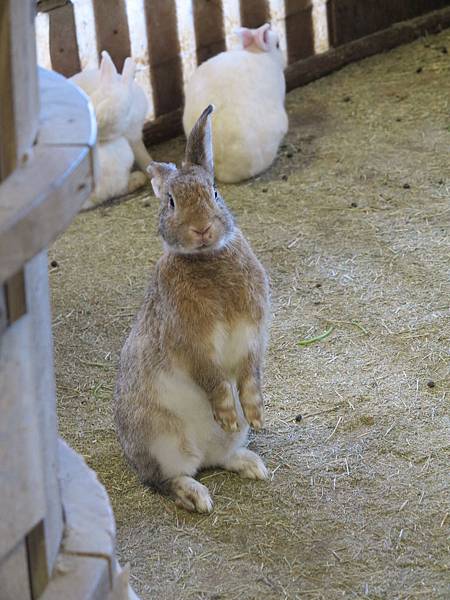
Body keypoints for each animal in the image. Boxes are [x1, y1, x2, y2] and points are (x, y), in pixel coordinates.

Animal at [113, 104, 270, 510]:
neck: (207, 258)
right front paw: (228, 413)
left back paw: (251, 464)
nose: (201, 229)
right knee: (166, 479)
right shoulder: (192, 344)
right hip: (160, 442)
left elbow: (249, 374)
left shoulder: (251, 337)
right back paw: (197, 496)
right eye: (171, 202)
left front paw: (255, 414)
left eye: (214, 192)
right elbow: (214, 379)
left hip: (211, 447)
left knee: (219, 459)